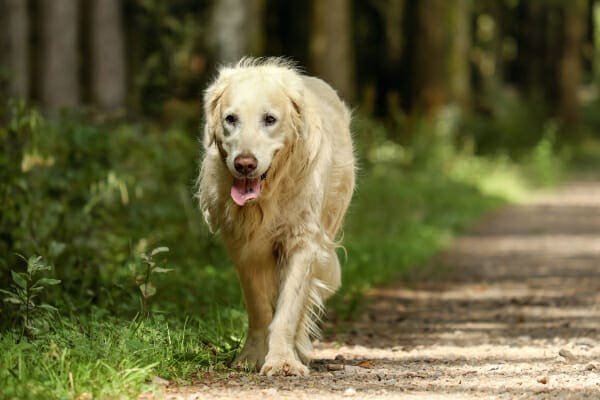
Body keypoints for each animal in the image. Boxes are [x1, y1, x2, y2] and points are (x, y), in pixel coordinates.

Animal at [197, 57, 356, 376]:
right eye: (231, 119)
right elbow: (259, 307)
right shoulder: (244, 248)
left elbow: (288, 309)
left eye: (269, 119)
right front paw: (252, 356)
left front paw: (283, 360)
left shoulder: (303, 242)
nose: (245, 164)